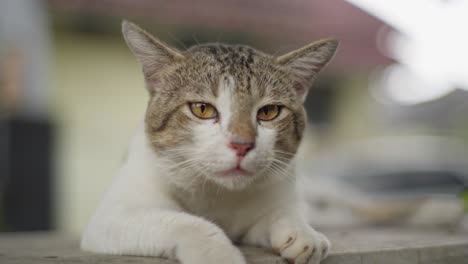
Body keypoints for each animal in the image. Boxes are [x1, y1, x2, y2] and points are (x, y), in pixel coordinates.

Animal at [80, 20, 336, 264]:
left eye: (269, 112)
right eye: (202, 109)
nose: (242, 144)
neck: (218, 194)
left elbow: (282, 212)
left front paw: (304, 232)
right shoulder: (110, 218)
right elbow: (187, 223)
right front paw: (218, 255)